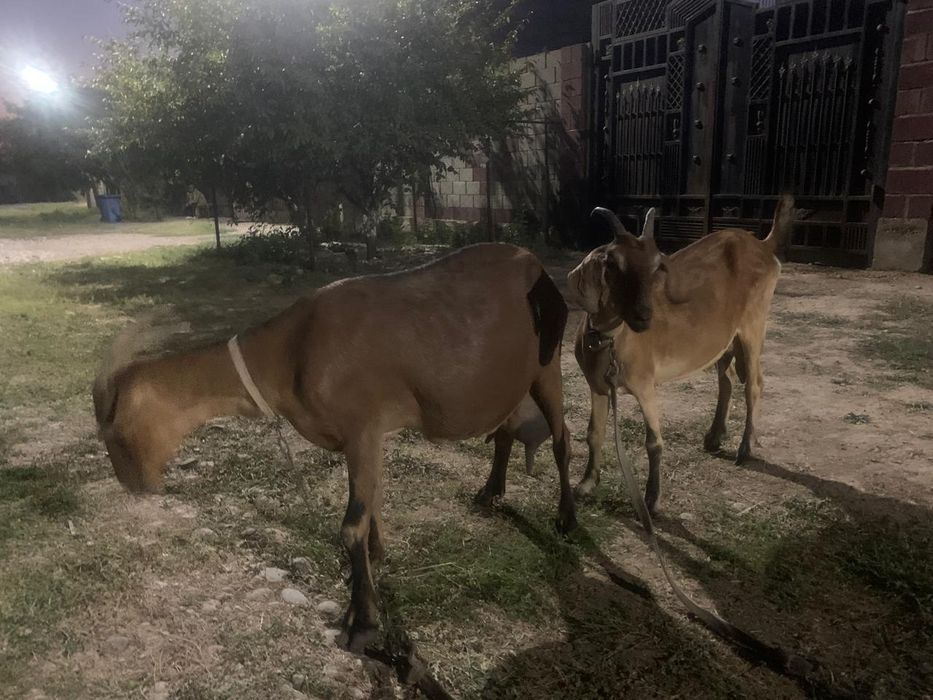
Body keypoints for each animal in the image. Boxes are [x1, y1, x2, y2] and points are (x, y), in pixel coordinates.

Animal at [93, 243, 576, 652]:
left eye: (113, 429)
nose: (133, 484)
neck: (290, 351)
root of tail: (536, 266)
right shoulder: (363, 438)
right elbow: (371, 501)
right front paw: (375, 562)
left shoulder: (362, 425)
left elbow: (350, 526)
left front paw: (361, 622)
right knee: (506, 430)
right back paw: (490, 491)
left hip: (548, 366)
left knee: (562, 440)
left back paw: (566, 520)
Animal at [567, 196, 795, 513]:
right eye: (612, 263)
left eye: (656, 265)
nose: (643, 316)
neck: (611, 340)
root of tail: (763, 245)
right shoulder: (597, 385)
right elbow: (594, 433)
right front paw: (586, 484)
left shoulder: (644, 384)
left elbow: (654, 442)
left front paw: (652, 499)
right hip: (724, 340)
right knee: (726, 379)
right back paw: (714, 436)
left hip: (753, 325)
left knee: (754, 383)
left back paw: (745, 448)